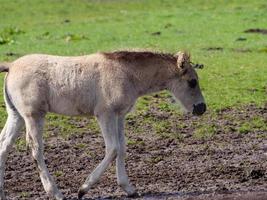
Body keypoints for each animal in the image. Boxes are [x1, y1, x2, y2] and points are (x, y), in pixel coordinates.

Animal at [0, 50, 207, 199]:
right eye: (192, 82)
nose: (201, 108)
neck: (126, 74)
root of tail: (11, 65)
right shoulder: (104, 114)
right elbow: (113, 148)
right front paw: (83, 189)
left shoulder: (119, 115)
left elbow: (122, 148)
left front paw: (129, 189)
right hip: (33, 116)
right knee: (36, 150)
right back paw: (55, 193)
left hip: (16, 115)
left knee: (4, 145)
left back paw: (2, 192)